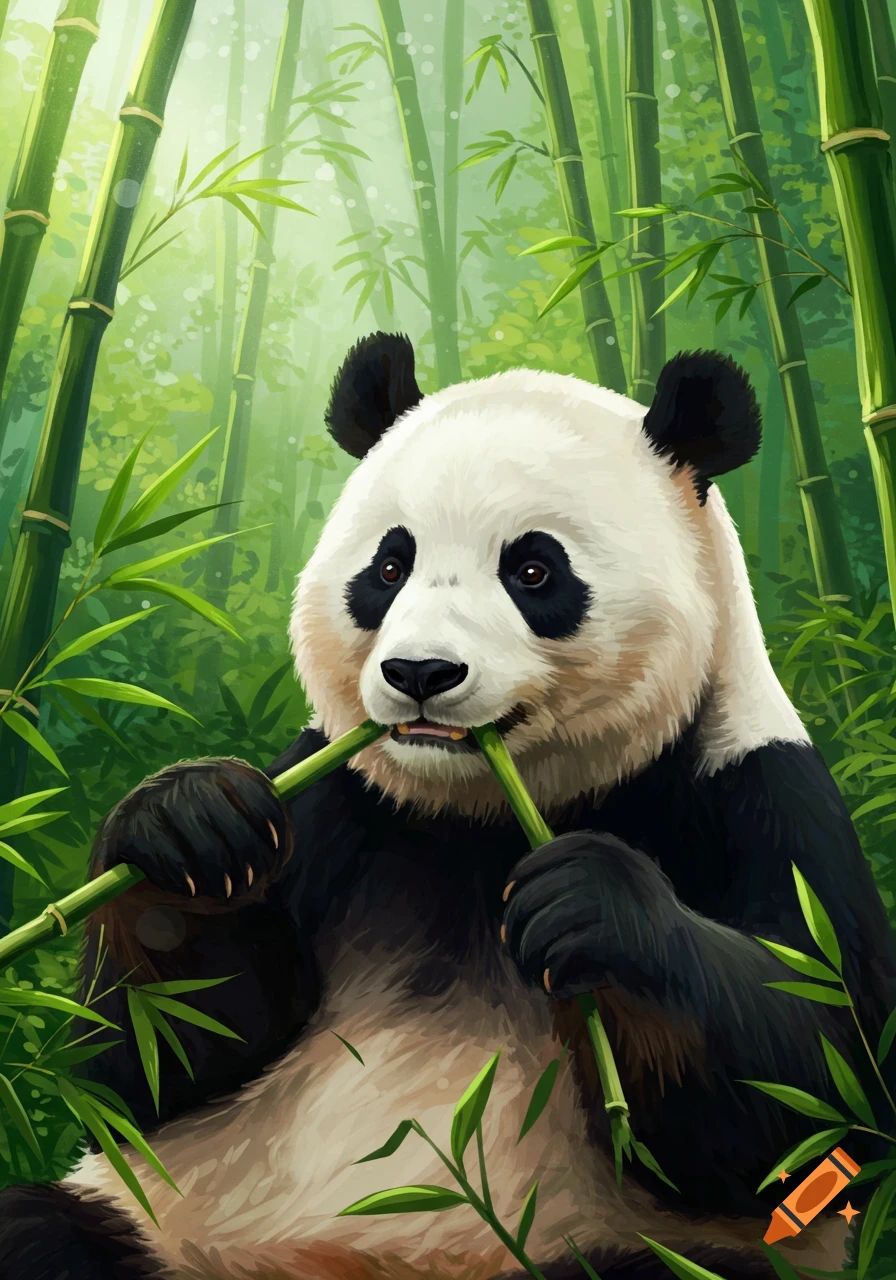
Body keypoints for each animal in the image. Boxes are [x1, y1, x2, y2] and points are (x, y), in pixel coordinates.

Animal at [1, 332, 894, 1280]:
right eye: (390, 567)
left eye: (534, 569)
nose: (420, 672)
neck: (481, 815)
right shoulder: (333, 799)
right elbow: (154, 1062)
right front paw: (192, 828)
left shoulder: (759, 799)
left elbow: (812, 1094)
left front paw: (593, 907)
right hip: (164, 1232)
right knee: (42, 1230)